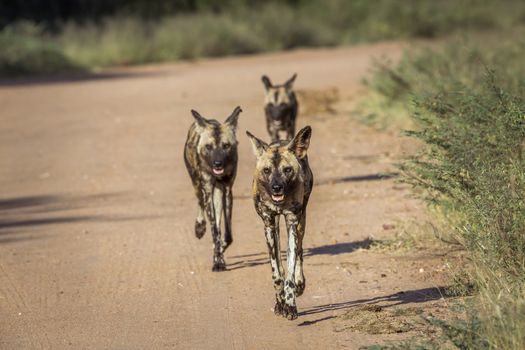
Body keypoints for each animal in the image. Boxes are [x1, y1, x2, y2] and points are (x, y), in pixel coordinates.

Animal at [184, 106, 242, 270]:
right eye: (208, 147)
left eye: (226, 146)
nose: (217, 163)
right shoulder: (208, 190)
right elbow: (215, 231)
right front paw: (218, 261)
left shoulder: (227, 191)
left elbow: (227, 235)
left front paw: (220, 249)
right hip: (198, 186)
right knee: (200, 203)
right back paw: (200, 227)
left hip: (218, 194)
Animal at [245, 126, 314, 320]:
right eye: (267, 170)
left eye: (287, 170)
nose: (276, 187)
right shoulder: (268, 223)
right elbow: (277, 273)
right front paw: (281, 303)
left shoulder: (292, 222)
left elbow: (290, 272)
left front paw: (290, 306)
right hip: (275, 226)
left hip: (300, 223)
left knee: (299, 253)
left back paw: (300, 283)